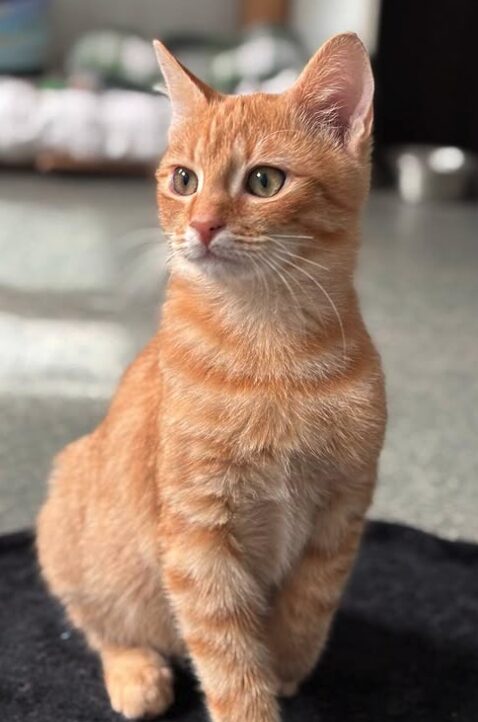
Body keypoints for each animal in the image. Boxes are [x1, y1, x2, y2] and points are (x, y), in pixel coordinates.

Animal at [38, 31, 388, 716]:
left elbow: (310, 604)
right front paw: (253, 699)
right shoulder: (198, 533)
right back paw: (136, 673)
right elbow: (227, 655)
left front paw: (288, 662)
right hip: (71, 531)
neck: (274, 354)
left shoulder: (341, 510)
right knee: (98, 625)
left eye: (264, 180)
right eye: (183, 179)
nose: (201, 225)